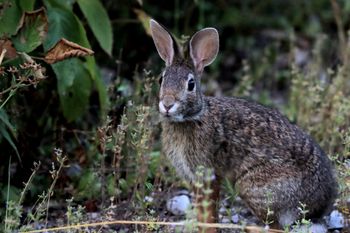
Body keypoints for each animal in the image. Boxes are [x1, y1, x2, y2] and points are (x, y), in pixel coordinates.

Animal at [149, 19, 338, 232]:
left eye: (190, 84)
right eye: (161, 79)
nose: (167, 104)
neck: (192, 117)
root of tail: (318, 205)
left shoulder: (208, 174)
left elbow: (209, 211)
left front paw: (209, 229)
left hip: (254, 188)